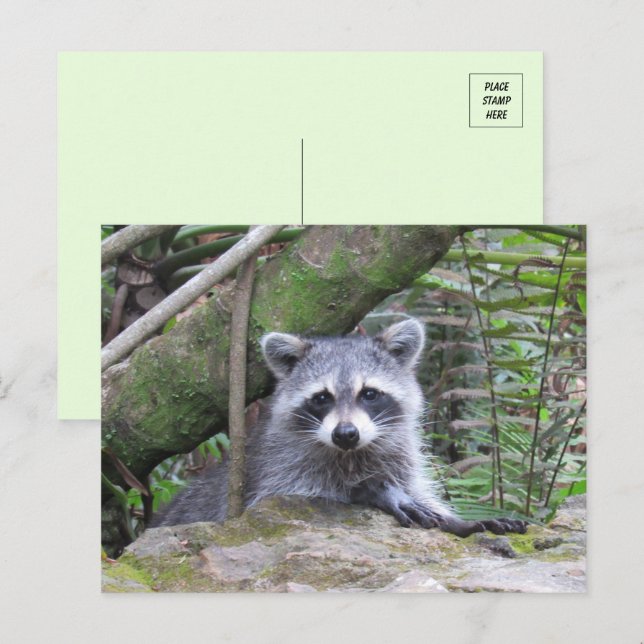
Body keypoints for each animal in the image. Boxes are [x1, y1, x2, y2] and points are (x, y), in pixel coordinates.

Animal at [153, 319, 526, 537]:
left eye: (369, 394)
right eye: (322, 398)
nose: (345, 434)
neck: (352, 453)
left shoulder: (399, 456)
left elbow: (417, 490)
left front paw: (458, 520)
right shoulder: (276, 467)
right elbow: (290, 495)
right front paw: (372, 490)